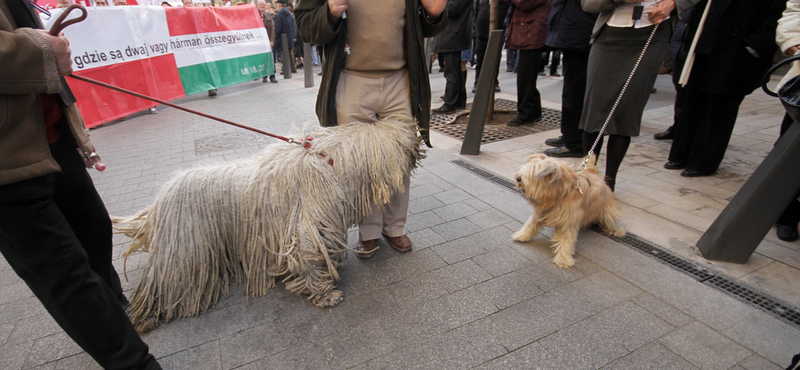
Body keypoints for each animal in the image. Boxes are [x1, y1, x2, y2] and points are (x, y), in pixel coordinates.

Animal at [115, 117, 424, 330]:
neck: (330, 161)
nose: (418, 129)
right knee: (161, 284)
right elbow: (310, 257)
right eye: (402, 136)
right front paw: (325, 293)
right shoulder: (308, 224)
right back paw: (147, 316)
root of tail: (160, 201)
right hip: (183, 253)